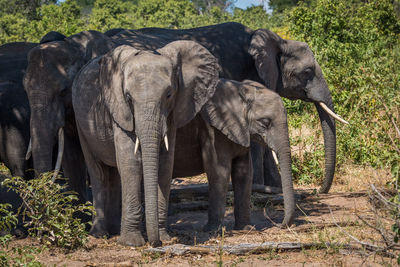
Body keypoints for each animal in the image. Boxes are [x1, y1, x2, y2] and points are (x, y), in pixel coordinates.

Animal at [73, 40, 220, 248]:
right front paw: (132, 243)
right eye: (127, 97)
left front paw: (164, 238)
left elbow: (165, 164)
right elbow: (131, 163)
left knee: (114, 174)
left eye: (169, 94)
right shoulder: (120, 109)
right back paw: (100, 234)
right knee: (98, 172)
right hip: (80, 122)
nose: (155, 243)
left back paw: (114, 230)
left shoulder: (173, 113)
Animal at [173, 78, 296, 231]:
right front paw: (211, 231)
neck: (242, 90)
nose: (278, 224)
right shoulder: (213, 130)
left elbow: (244, 173)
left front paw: (246, 228)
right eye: (264, 122)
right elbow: (220, 173)